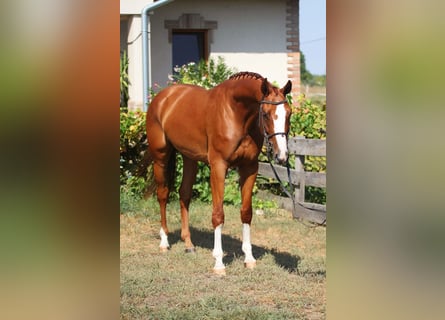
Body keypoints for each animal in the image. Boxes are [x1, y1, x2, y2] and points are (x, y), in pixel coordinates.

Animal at [144, 72, 294, 276]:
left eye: (289, 113)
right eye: (265, 114)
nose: (282, 156)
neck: (236, 113)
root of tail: (161, 97)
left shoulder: (249, 167)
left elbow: (246, 212)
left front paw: (249, 258)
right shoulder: (218, 167)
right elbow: (218, 215)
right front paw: (219, 263)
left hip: (189, 158)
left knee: (184, 194)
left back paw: (188, 244)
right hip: (161, 157)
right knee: (163, 195)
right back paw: (164, 242)